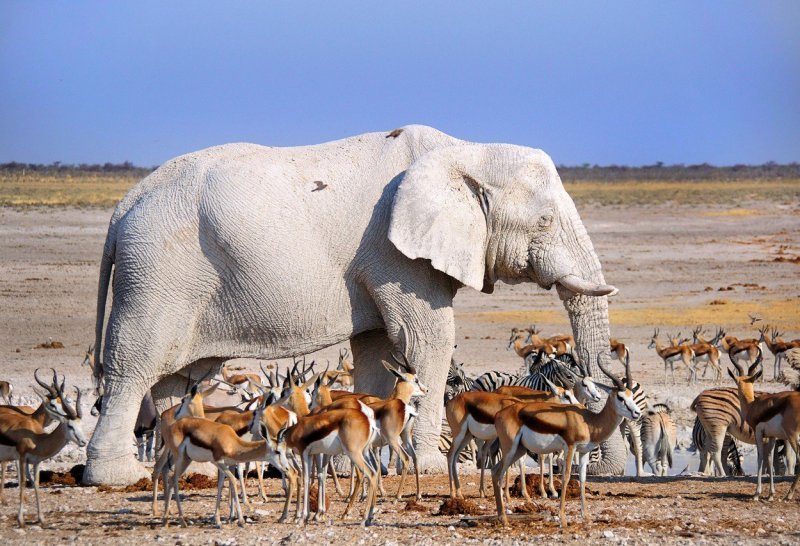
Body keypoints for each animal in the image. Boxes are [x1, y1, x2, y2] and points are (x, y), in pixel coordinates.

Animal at [83, 125, 620, 482]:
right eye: (545, 222)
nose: (607, 469)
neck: (465, 151)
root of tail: (122, 206)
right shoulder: (396, 254)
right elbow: (428, 340)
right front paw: (430, 468)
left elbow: (378, 350)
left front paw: (346, 465)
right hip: (158, 273)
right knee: (135, 366)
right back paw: (120, 477)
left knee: (180, 377)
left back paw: (186, 467)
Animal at [490, 350, 640, 524]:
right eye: (620, 397)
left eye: (632, 395)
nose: (637, 413)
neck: (589, 421)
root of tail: (500, 414)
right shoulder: (570, 447)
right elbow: (566, 476)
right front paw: (562, 518)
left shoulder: (583, 452)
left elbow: (582, 478)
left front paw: (586, 516)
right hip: (510, 448)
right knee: (498, 473)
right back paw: (503, 517)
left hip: (519, 449)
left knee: (495, 470)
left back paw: (502, 516)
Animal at [728, 348, 796, 498]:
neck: (753, 405)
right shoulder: (771, 437)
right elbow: (769, 460)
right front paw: (771, 494)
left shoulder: (759, 433)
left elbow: (760, 458)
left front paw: (757, 493)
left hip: (793, 436)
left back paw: (789, 495)